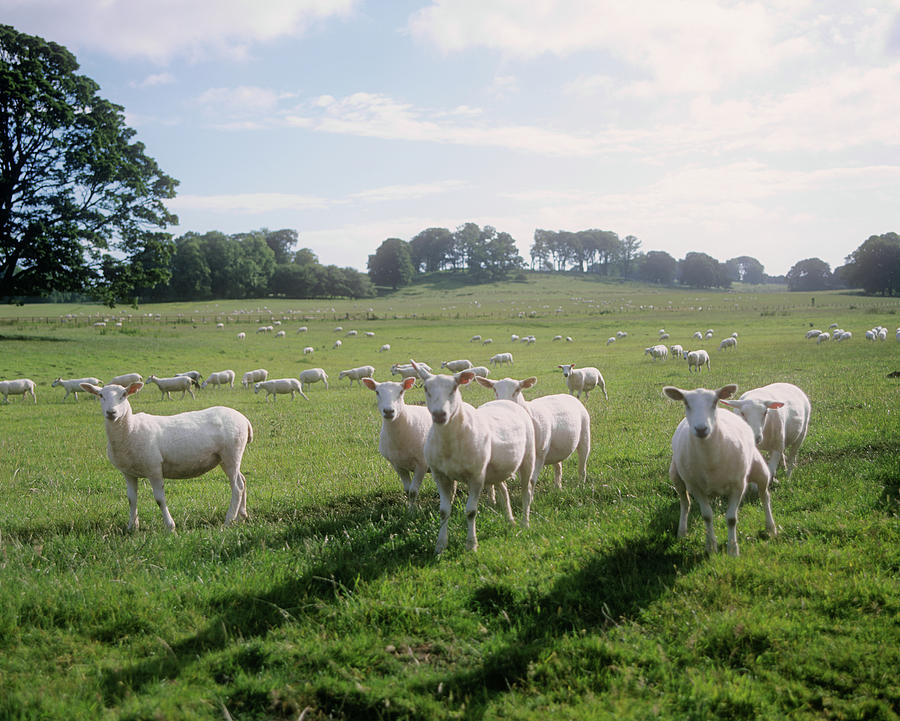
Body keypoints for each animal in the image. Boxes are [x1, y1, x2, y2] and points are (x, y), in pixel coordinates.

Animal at [79, 382, 251, 528]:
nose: (111, 412)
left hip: (232, 452)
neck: (130, 430)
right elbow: (131, 500)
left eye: (124, 395)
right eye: (100, 395)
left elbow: (159, 500)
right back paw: (242, 516)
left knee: (236, 487)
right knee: (242, 480)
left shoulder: (154, 468)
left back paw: (229, 521)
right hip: (226, 457)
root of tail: (244, 419)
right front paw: (132, 527)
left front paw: (170, 526)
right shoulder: (128, 472)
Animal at [362, 376, 432, 506]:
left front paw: (413, 510)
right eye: (377, 392)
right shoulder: (397, 465)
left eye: (401, 392)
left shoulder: (422, 463)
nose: (389, 411)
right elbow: (407, 490)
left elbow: (413, 492)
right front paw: (409, 508)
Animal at [412, 362, 536, 556]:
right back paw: (510, 520)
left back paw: (525, 523)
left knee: (526, 492)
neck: (449, 442)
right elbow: (443, 511)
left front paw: (471, 544)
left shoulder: (476, 476)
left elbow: (471, 511)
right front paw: (440, 545)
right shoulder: (440, 476)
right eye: (426, 388)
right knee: (504, 490)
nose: (439, 415)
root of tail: (507, 402)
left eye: (455, 388)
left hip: (528, 458)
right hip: (495, 469)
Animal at [660, 382, 772, 556]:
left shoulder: (738, 485)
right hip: (676, 476)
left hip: (760, 470)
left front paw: (733, 550)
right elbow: (707, 516)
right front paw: (711, 547)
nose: (701, 429)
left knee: (764, 495)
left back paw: (771, 528)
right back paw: (682, 532)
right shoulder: (696, 487)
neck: (710, 460)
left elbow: (731, 519)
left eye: (714, 402)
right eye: (686, 403)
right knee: (685, 503)